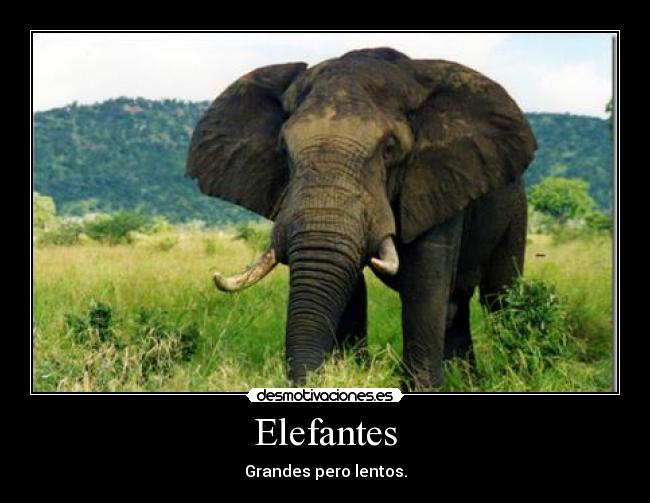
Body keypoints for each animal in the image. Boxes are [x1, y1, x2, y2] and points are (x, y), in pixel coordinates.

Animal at [186, 47, 536, 389]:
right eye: (283, 149)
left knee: (499, 295)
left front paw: (421, 388)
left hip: (515, 208)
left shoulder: (437, 177)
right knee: (458, 307)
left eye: (389, 149)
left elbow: (425, 282)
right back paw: (467, 380)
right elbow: (348, 283)